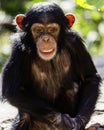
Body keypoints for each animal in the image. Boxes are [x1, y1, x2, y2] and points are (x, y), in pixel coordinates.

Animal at [1, 2, 101, 130]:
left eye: (52, 30)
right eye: (38, 30)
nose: (46, 38)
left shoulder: (75, 42)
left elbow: (90, 78)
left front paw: (78, 122)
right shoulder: (18, 49)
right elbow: (12, 91)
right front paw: (61, 120)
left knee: (72, 88)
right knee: (24, 115)